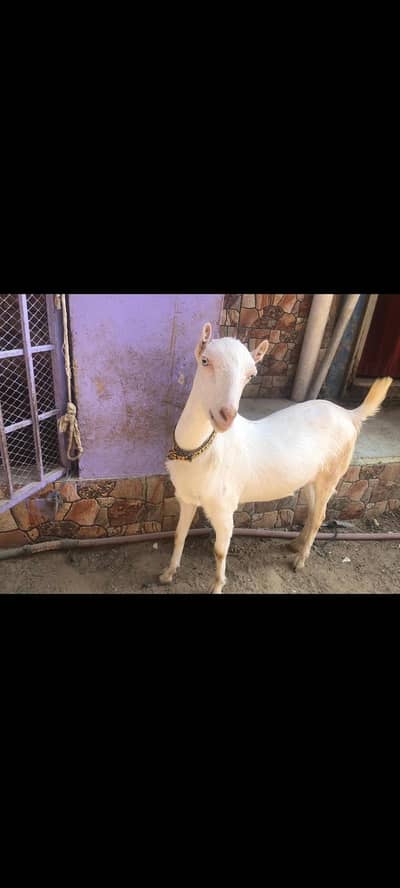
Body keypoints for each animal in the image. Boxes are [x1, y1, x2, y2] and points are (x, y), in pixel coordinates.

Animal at [160, 322, 393, 593]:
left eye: (251, 375)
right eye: (205, 361)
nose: (226, 415)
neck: (199, 452)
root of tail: (349, 414)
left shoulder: (224, 506)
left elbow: (219, 551)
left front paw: (217, 586)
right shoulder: (186, 497)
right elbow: (179, 535)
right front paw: (167, 573)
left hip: (333, 472)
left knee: (320, 515)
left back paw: (300, 559)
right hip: (311, 477)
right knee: (313, 510)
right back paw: (296, 544)